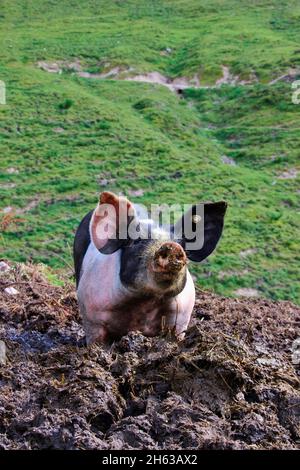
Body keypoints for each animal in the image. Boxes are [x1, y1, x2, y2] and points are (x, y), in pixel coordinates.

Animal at [74, 192, 226, 346]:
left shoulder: (182, 317)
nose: (172, 246)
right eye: (136, 241)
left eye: (181, 244)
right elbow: (96, 341)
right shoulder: (92, 315)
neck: (146, 302)